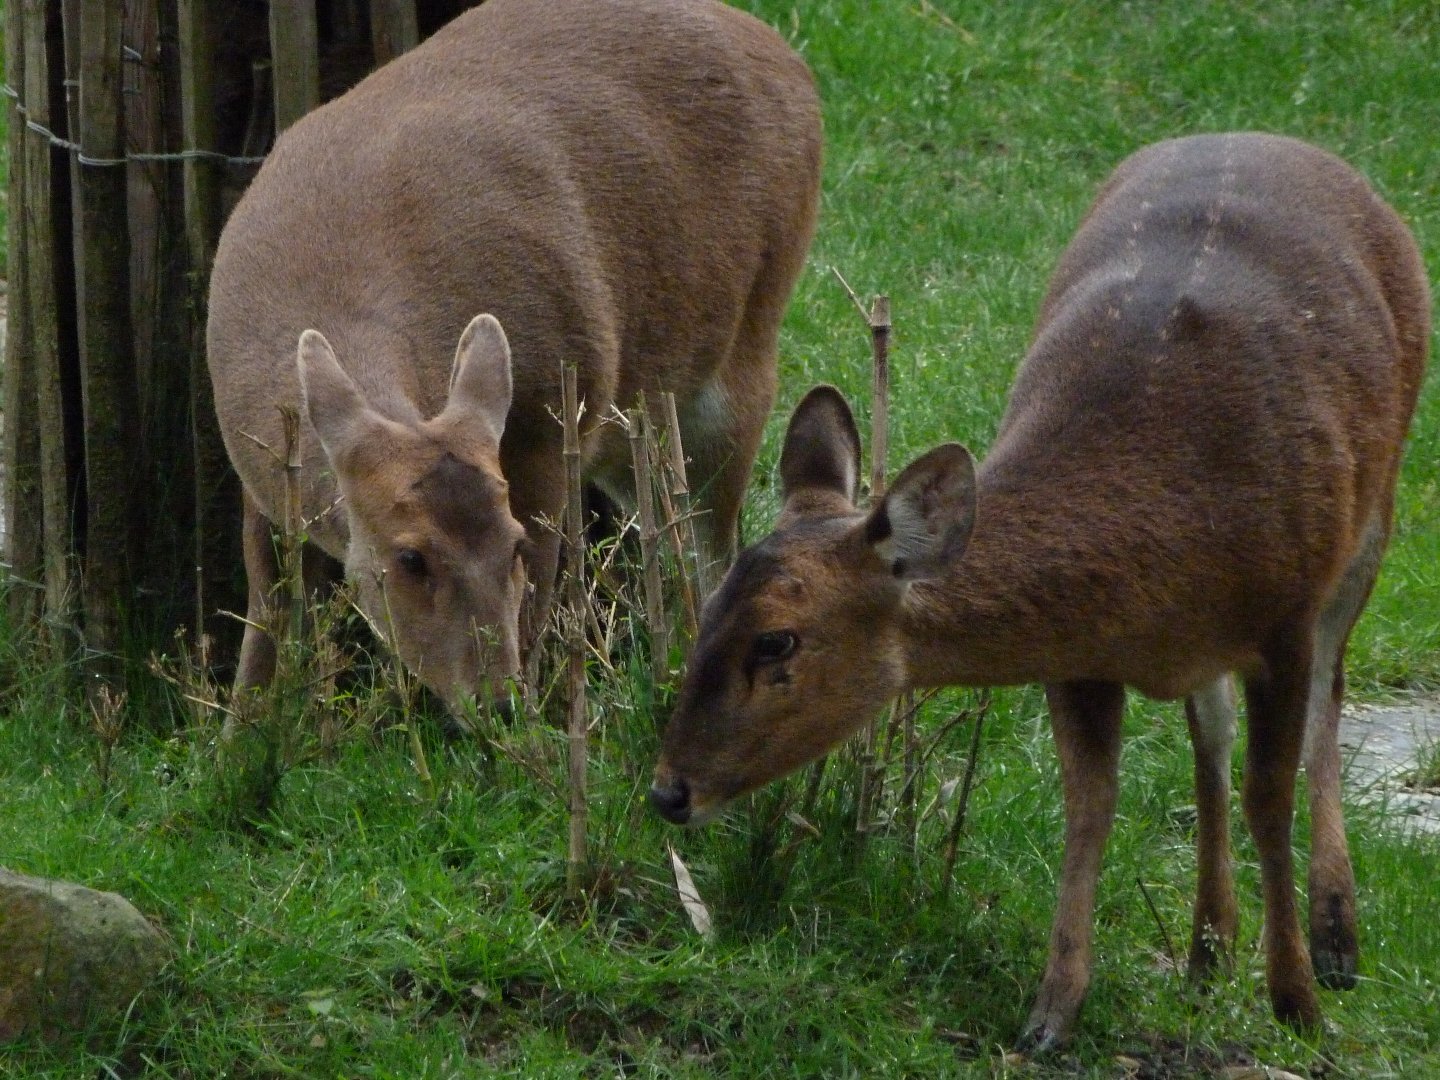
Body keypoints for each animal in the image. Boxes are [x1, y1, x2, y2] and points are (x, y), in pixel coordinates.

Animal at [206, 0, 821, 717]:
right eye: (410, 558)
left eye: (512, 546)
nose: (493, 700)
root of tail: (794, 64)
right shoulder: (258, 472)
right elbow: (267, 615)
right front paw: (240, 735)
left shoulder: (549, 415)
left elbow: (542, 593)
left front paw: (537, 726)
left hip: (749, 342)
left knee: (716, 541)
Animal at [649, 132, 1431, 1050]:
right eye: (707, 614)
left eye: (777, 639)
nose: (668, 790)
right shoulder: (1082, 652)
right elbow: (1090, 806)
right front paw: (1051, 1012)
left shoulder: (1285, 616)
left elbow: (1269, 795)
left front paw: (1298, 1001)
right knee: (1210, 729)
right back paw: (1207, 948)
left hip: (1374, 509)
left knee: (1328, 703)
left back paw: (1338, 940)